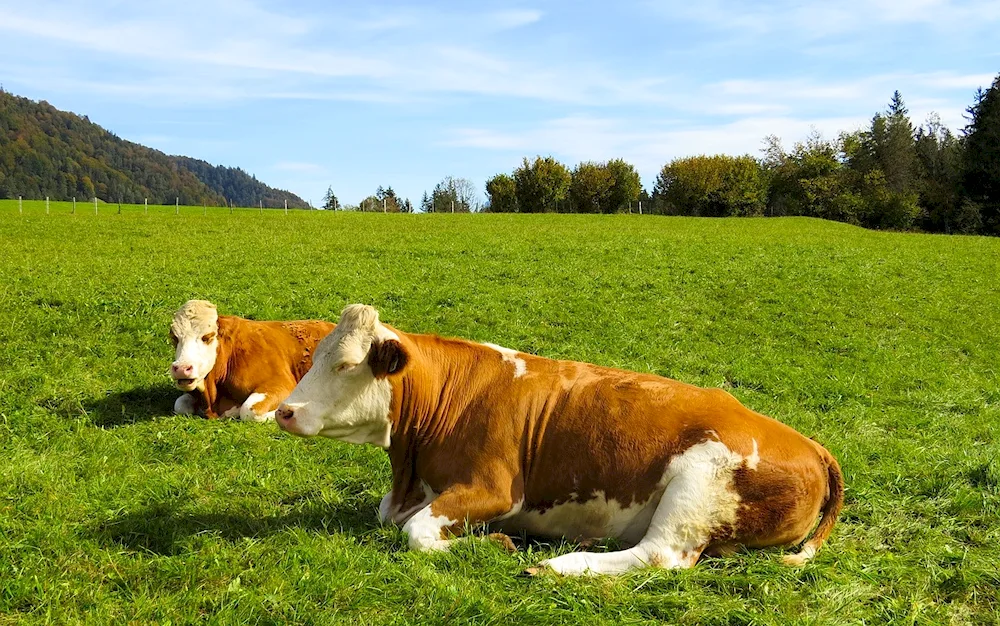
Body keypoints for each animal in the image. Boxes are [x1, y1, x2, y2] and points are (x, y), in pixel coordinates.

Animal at [166, 300, 334, 422]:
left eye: (207, 337)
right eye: (175, 338)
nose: (181, 368)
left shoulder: (281, 384)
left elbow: (248, 411)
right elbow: (179, 405)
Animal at [270, 304, 840, 576]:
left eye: (345, 364)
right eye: (315, 355)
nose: (284, 410)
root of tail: (811, 445)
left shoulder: (496, 488)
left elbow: (414, 533)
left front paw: (496, 542)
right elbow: (392, 518)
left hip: (697, 484)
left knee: (659, 555)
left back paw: (556, 564)